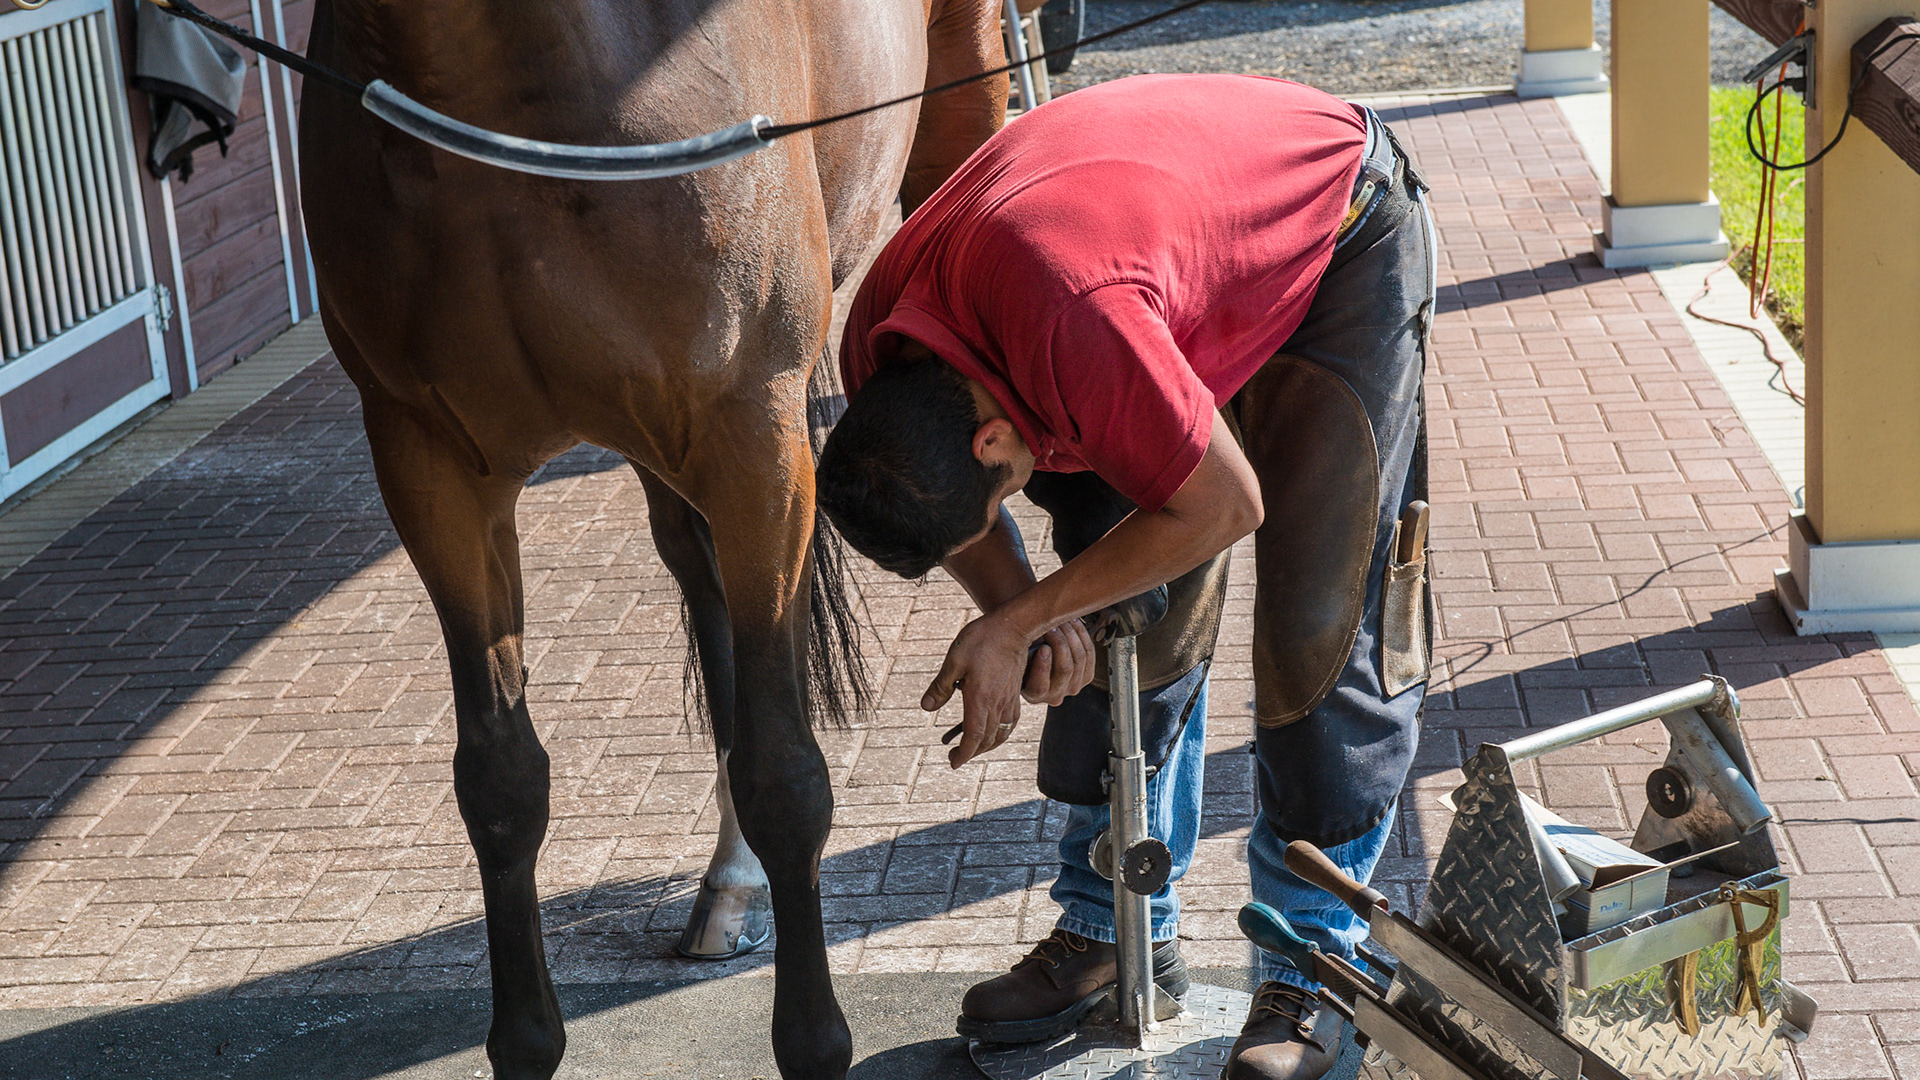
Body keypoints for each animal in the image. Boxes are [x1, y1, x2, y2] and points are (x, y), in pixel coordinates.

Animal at [297, 0, 1005, 1074]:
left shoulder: (752, 442)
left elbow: (785, 773)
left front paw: (813, 1041)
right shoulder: (432, 470)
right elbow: (500, 779)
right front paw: (527, 1038)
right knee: (703, 590)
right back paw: (731, 883)